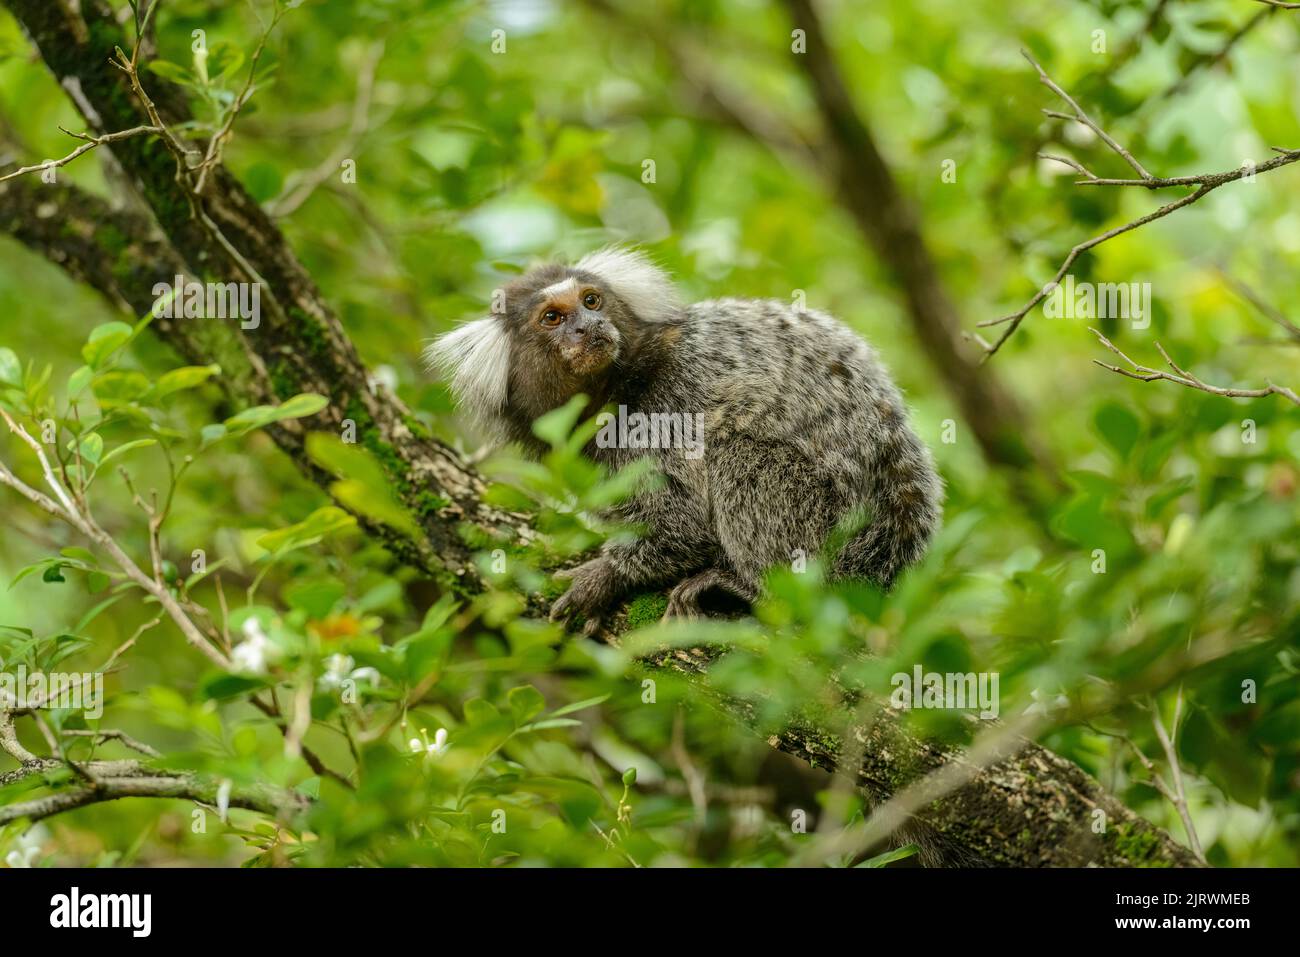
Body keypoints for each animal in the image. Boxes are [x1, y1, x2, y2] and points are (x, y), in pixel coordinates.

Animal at [428, 250, 946, 631]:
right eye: (553, 317)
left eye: (591, 301)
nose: (587, 328)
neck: (615, 391)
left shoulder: (667, 407)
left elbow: (683, 525)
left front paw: (606, 576)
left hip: (834, 536)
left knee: (740, 455)